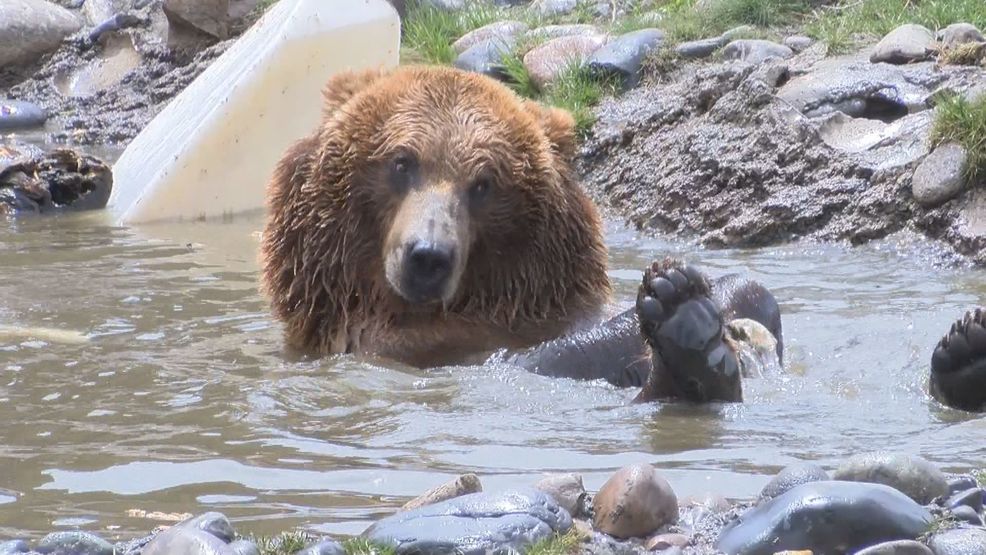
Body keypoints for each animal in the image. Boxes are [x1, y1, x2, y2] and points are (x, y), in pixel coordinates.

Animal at [260, 64, 986, 410]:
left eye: (484, 182)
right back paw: (689, 347)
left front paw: (708, 289)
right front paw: (683, 301)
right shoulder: (403, 344)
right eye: (401, 161)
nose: (428, 258)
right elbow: (546, 354)